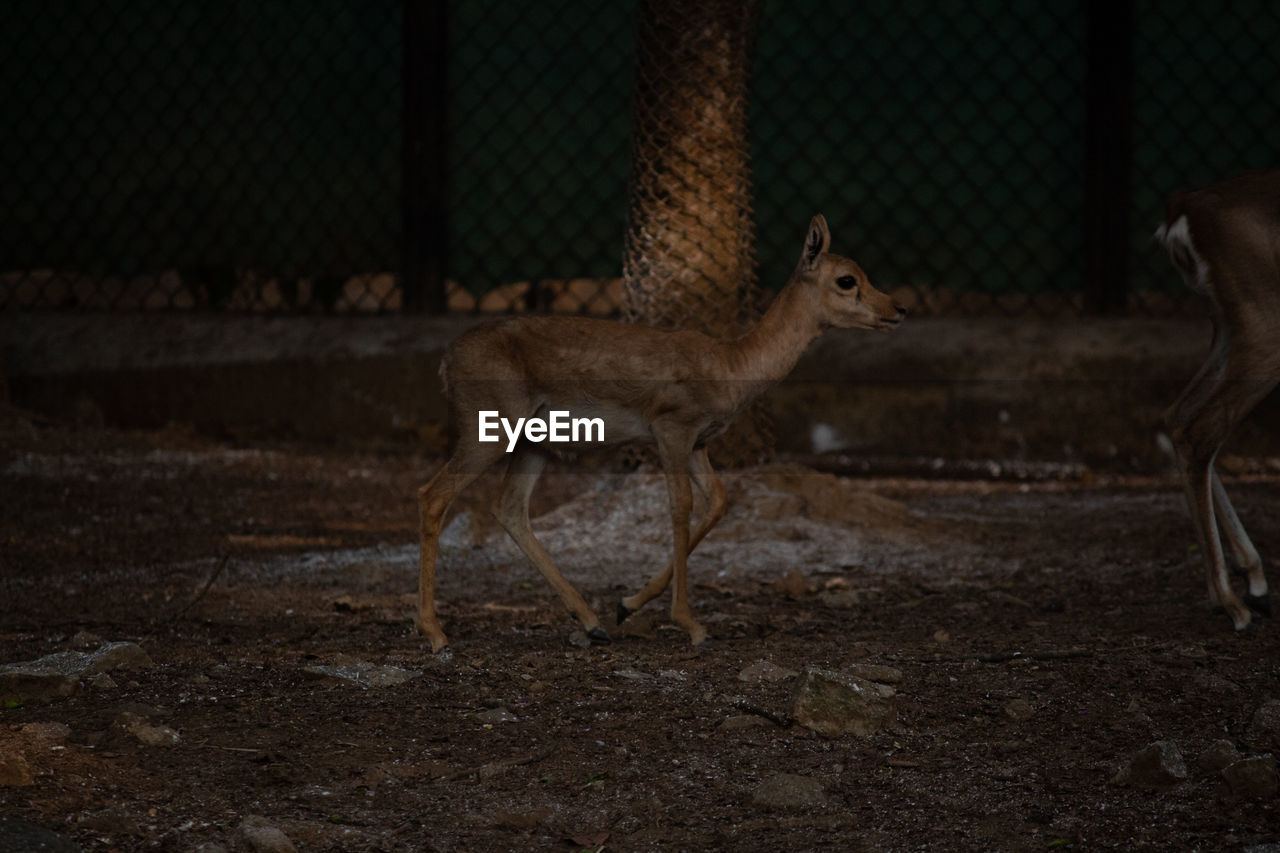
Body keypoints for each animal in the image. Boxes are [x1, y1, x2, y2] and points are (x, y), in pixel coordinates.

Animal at [415, 215, 906, 652]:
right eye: (847, 279)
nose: (898, 309)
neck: (730, 365)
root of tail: (446, 359)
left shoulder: (699, 442)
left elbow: (718, 501)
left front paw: (626, 605)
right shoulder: (671, 429)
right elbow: (680, 507)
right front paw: (692, 626)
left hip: (536, 444)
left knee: (509, 508)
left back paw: (593, 623)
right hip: (489, 430)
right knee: (434, 494)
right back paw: (436, 634)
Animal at [1155, 170, 1280, 631]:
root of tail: (1187, 208)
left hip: (1228, 325)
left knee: (1177, 415)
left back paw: (1253, 584)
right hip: (1265, 329)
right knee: (1200, 428)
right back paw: (1231, 601)